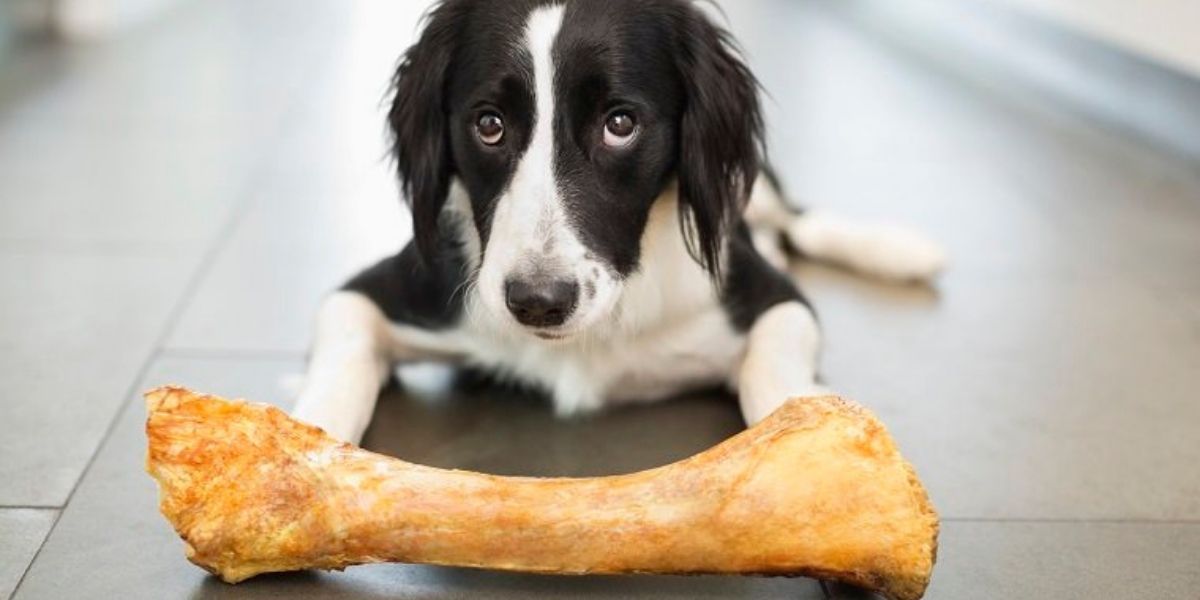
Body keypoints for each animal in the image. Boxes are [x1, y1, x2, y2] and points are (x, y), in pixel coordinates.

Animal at [288, 0, 936, 444]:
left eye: (620, 123)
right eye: (488, 124)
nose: (539, 302)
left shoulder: (774, 300)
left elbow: (771, 373)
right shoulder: (376, 292)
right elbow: (339, 367)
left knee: (799, 218)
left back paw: (900, 250)